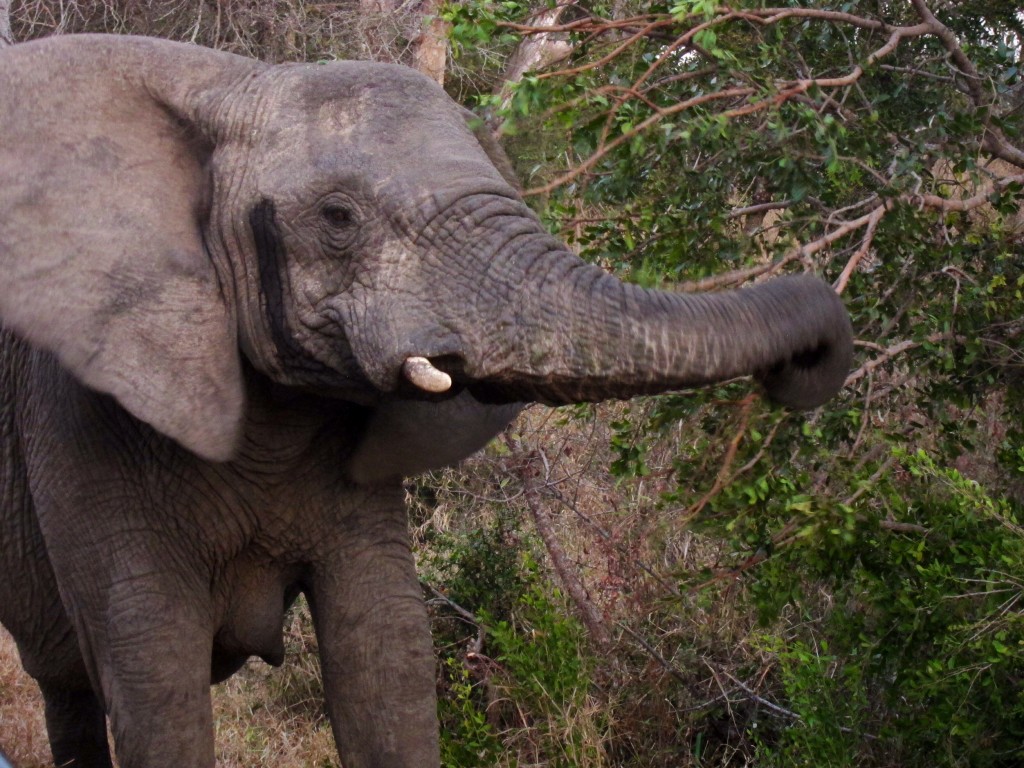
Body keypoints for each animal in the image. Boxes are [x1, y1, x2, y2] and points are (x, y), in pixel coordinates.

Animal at [0, 34, 851, 768]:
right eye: (338, 219)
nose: (804, 367)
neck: (229, 83)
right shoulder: (80, 411)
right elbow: (156, 681)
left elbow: (386, 654)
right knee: (72, 690)